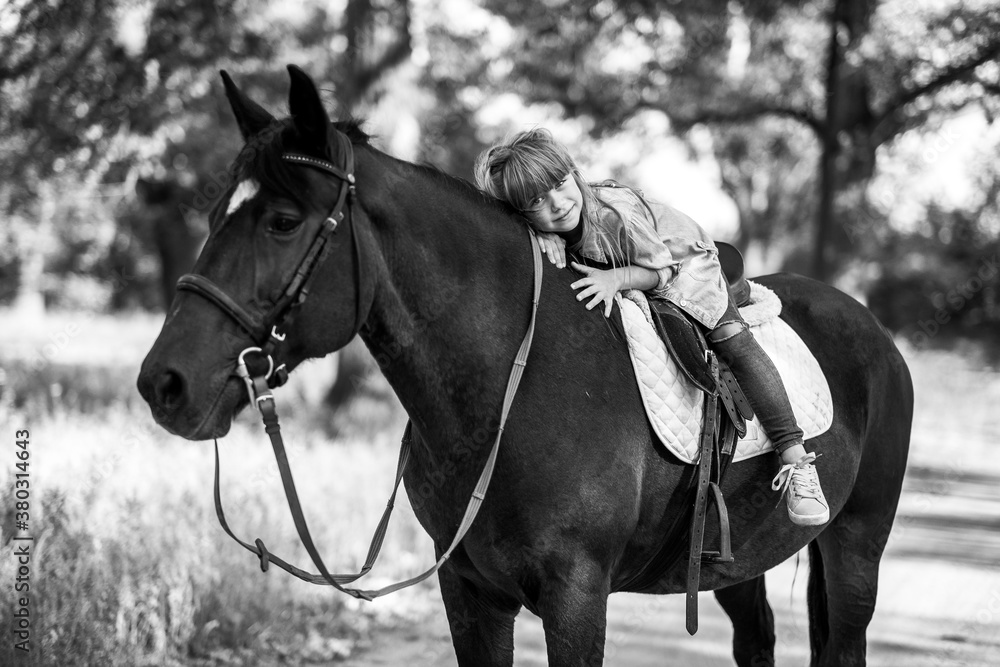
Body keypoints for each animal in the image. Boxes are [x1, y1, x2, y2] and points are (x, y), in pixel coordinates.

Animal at [137, 65, 913, 667]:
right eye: (215, 213)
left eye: (283, 221)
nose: (163, 384)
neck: (515, 385)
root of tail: (871, 327)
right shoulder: (471, 595)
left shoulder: (577, 597)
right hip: (737, 561)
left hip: (856, 545)